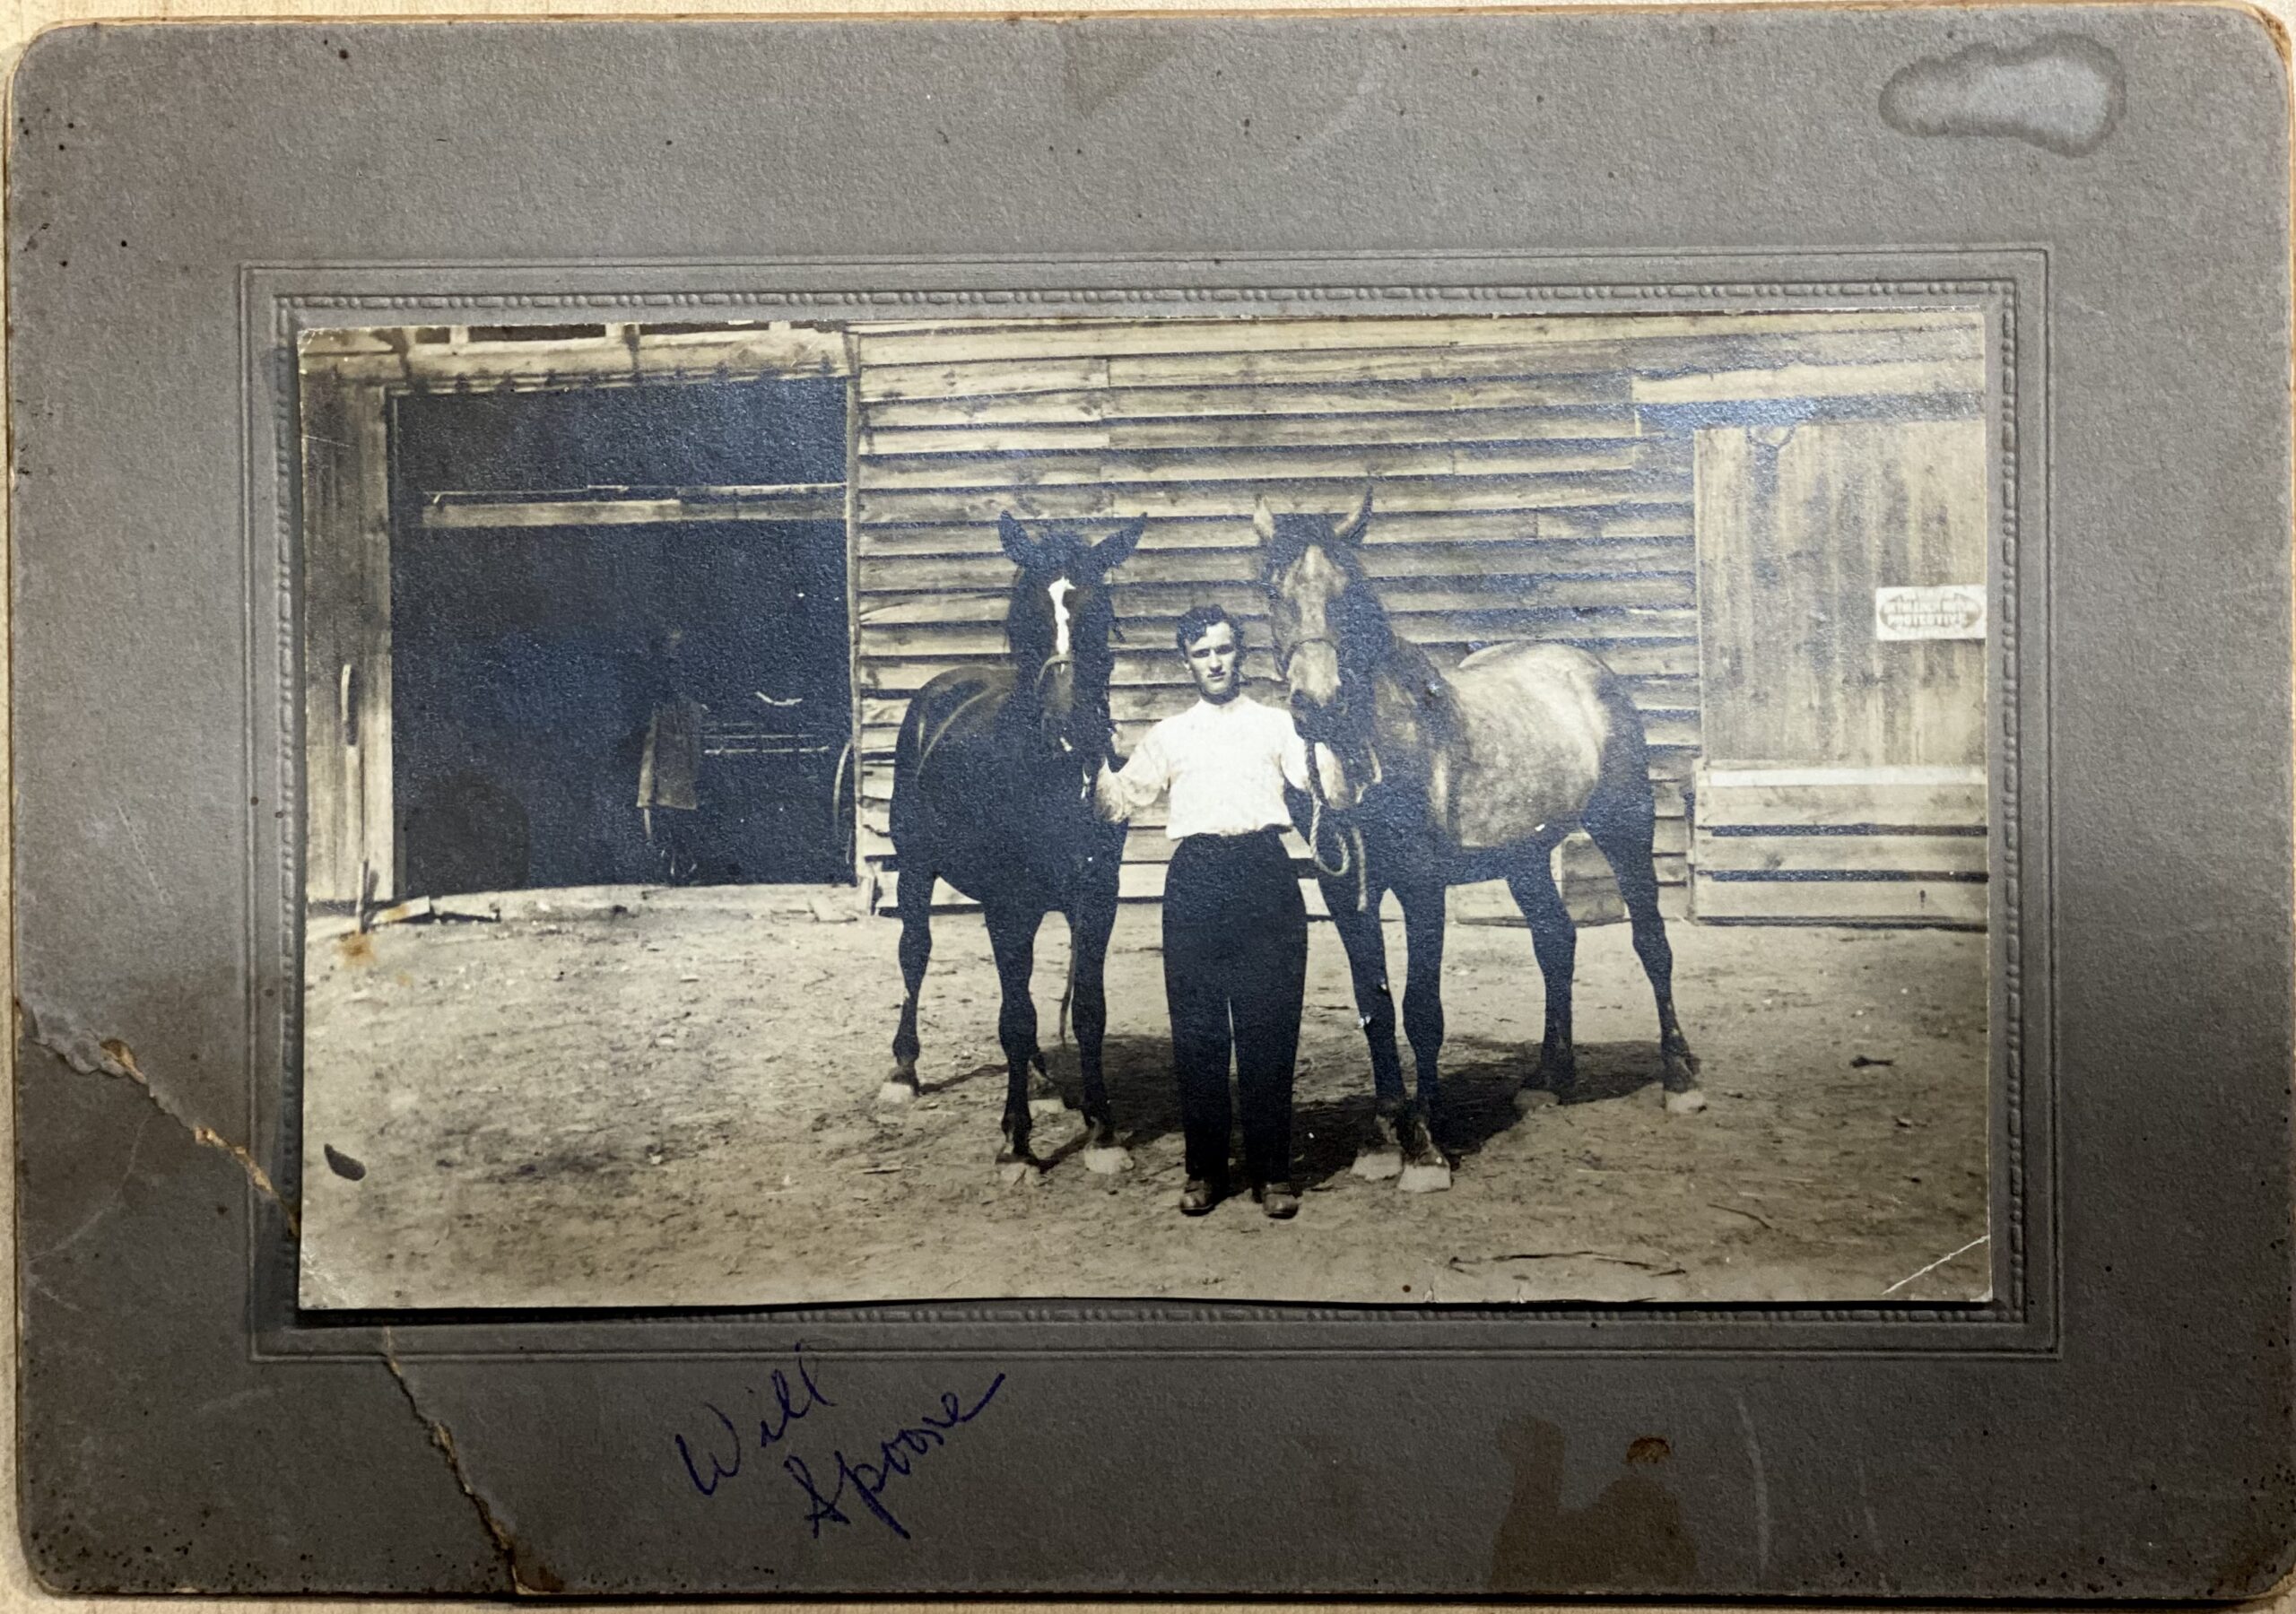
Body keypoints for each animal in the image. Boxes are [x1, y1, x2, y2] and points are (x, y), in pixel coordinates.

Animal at [882, 512, 1145, 1175]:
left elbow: (1087, 1009)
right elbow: (1016, 1017)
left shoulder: (1096, 898)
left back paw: (1048, 1082)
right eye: (1023, 619)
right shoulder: (1007, 905)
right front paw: (1016, 1144)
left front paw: (1102, 1133)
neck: (1048, 779)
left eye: (1101, 618)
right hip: (915, 868)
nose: (1069, 731)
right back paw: (903, 1071)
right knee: (915, 951)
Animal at [1255, 489, 1703, 1192]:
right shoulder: (1343, 891)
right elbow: (1374, 1006)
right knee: (1555, 942)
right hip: (1526, 859)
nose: (1318, 704)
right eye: (1271, 590)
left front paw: (1426, 1149)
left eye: (1349, 590)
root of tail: (1585, 667)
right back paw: (1549, 1080)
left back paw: (1679, 1079)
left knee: (1651, 945)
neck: (1370, 748)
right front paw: (1380, 1141)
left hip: (1624, 829)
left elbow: (1422, 1009)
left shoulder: (1421, 886)